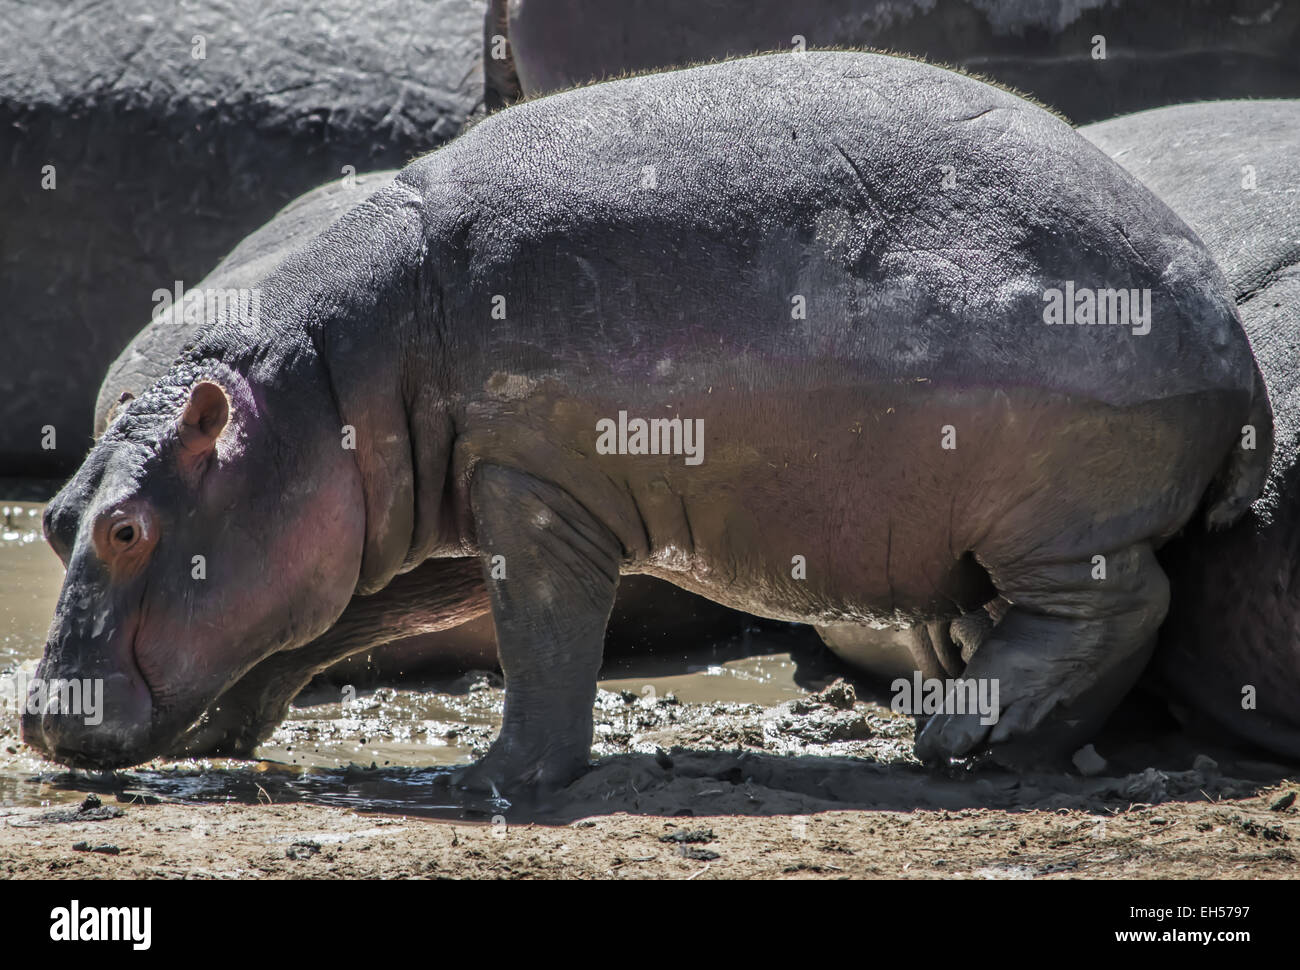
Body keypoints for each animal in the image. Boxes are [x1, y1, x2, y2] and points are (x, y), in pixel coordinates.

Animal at [25, 52, 1274, 790]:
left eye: (130, 528)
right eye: (54, 516)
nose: (36, 713)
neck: (324, 379)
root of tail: (1227, 327)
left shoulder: (531, 491)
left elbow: (540, 641)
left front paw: (490, 780)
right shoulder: (437, 502)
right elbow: (326, 620)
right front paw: (218, 730)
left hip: (1058, 514)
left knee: (1120, 602)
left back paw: (963, 734)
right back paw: (1000, 729)